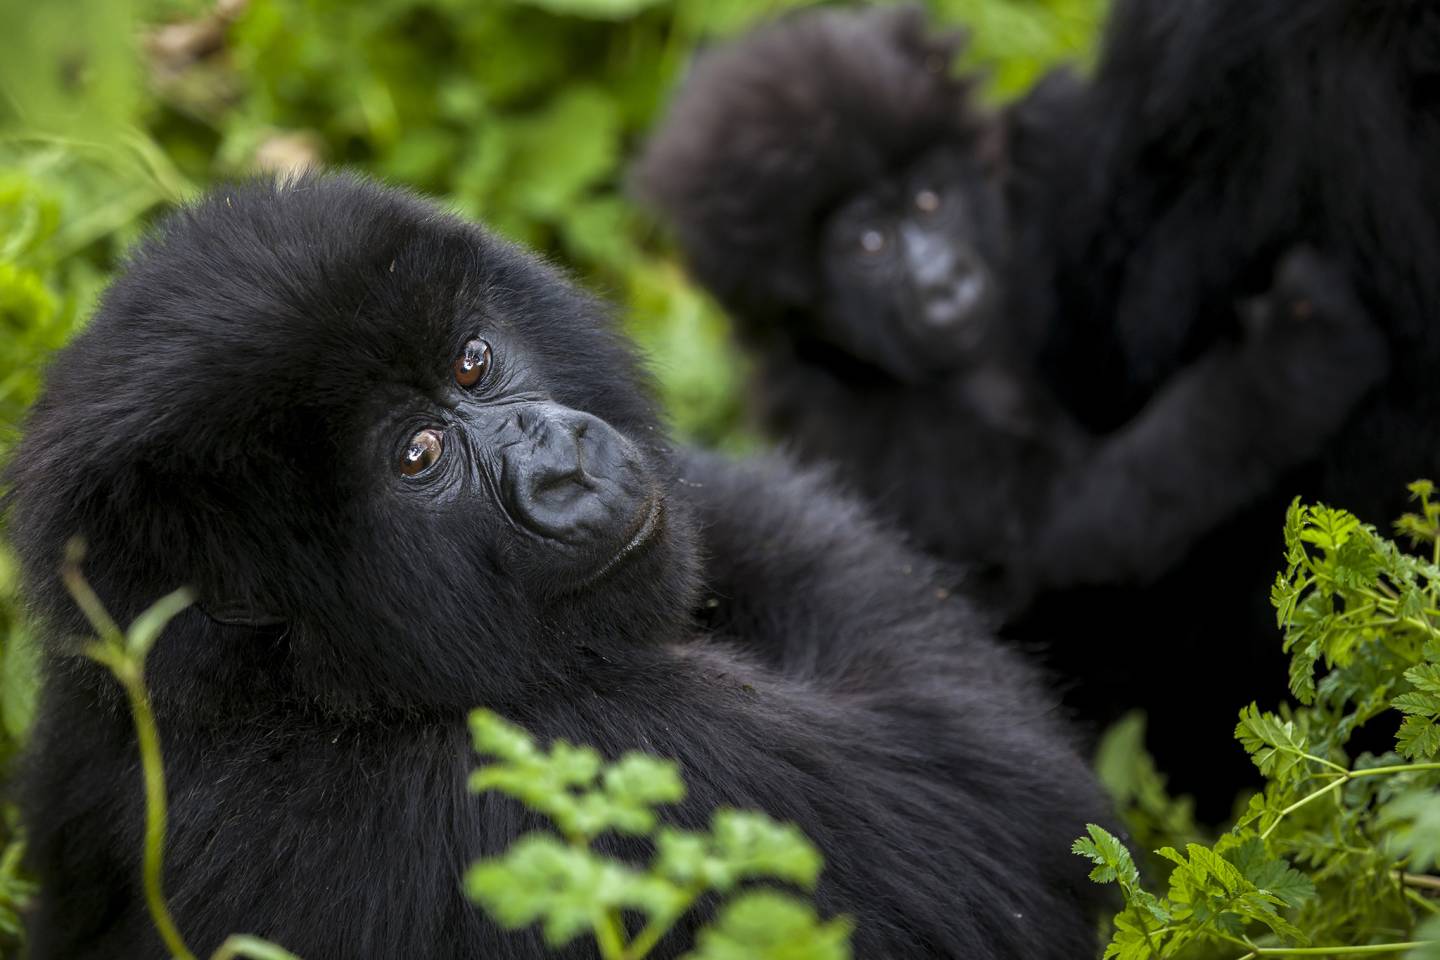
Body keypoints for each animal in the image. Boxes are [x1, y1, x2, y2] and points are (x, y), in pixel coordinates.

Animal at [2, 174, 1111, 960]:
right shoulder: (615, 758)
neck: (268, 693)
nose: (564, 464)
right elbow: (1001, 814)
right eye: (418, 456)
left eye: (471, 363)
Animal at [633, 5, 1393, 817]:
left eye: (930, 200)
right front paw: (1295, 358)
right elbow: (1069, 524)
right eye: (868, 242)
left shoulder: (1036, 177)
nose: (943, 281)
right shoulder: (864, 425)